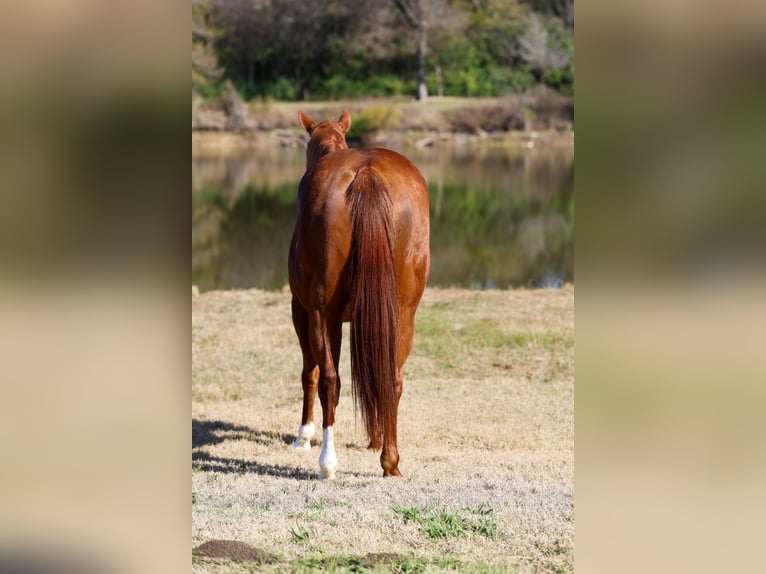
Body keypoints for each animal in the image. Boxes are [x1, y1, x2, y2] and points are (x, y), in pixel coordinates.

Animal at [288, 110, 430, 479]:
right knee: (391, 378)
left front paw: (304, 434)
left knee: (328, 379)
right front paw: (375, 438)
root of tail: (367, 172)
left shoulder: (302, 311)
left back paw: (327, 462)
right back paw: (390, 460)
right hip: (403, 314)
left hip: (320, 314)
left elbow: (311, 374)